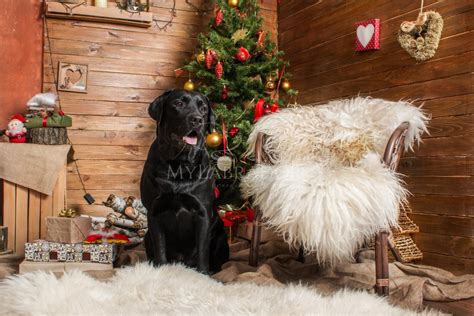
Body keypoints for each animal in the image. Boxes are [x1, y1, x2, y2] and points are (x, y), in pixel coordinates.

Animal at [141, 89, 230, 274]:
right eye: (178, 104)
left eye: (203, 108)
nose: (197, 119)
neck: (179, 165)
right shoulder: (154, 212)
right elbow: (160, 247)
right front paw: (161, 271)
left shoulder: (203, 212)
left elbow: (203, 250)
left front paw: (203, 274)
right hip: (146, 236)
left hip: (220, 236)